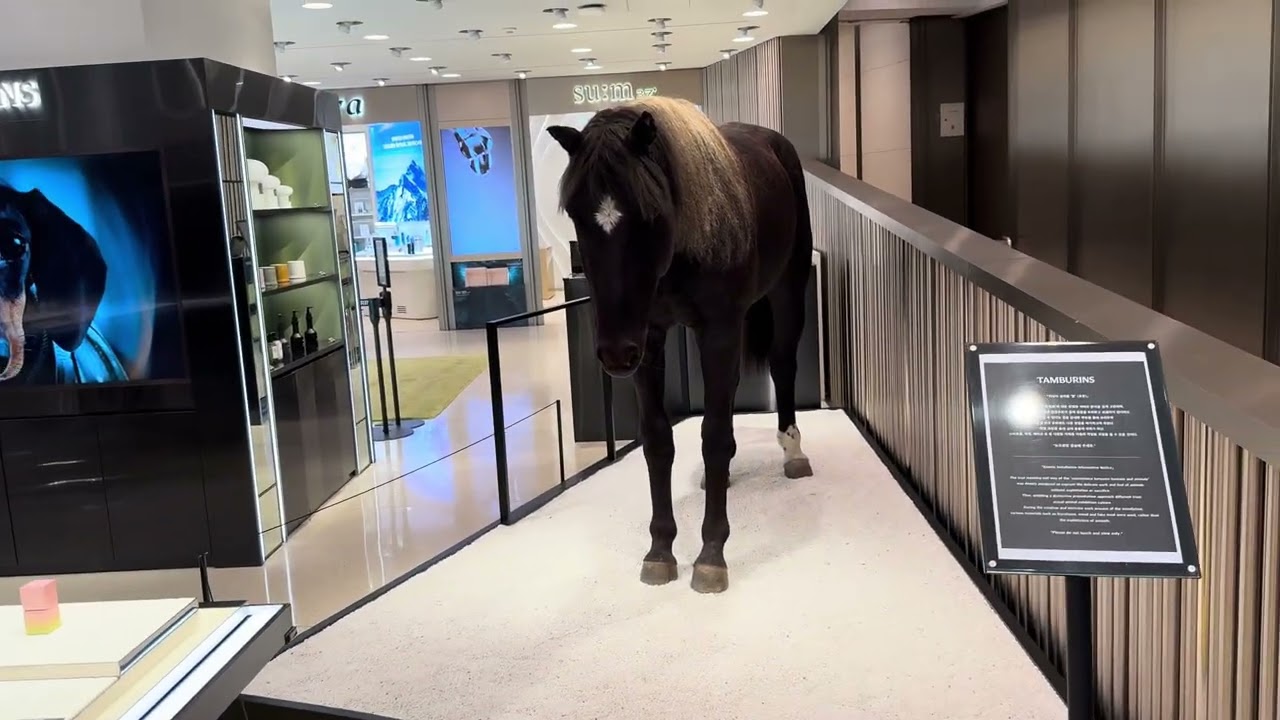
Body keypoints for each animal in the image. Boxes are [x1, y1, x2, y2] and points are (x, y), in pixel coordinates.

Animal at [547, 96, 813, 594]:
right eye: (575, 213)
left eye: (648, 213)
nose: (613, 353)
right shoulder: (649, 338)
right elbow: (657, 440)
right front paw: (660, 549)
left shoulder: (719, 329)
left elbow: (713, 436)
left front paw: (711, 553)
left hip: (788, 289)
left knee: (783, 364)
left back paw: (793, 452)